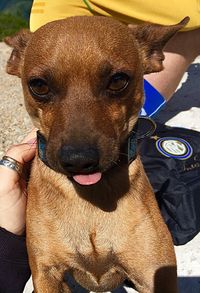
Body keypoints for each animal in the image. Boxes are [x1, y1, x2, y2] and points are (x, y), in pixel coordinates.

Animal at [5, 16, 189, 292]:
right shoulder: (47, 276)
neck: (91, 199)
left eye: (118, 80)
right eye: (38, 85)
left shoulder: (155, 275)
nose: (79, 160)